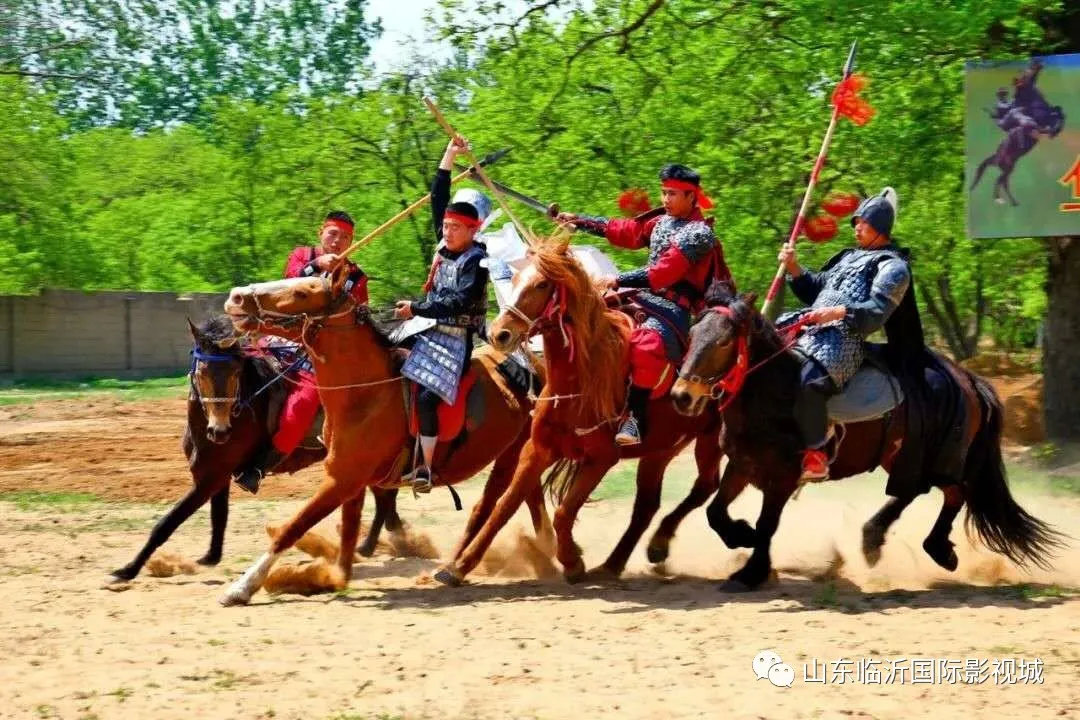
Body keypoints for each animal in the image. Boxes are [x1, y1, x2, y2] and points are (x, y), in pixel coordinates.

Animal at [109, 317, 406, 582]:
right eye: (202, 372)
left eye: (235, 372)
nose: (220, 431)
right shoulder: (217, 476)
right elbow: (219, 516)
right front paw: (211, 556)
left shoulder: (209, 479)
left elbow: (167, 523)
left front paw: (127, 570)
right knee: (384, 497)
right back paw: (380, 540)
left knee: (384, 496)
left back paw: (374, 543)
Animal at [220, 267, 557, 604]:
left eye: (302, 292)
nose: (236, 297)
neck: (366, 393)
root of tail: (536, 367)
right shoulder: (351, 482)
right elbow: (344, 552)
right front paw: (313, 575)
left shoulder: (342, 480)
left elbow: (295, 527)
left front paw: (243, 586)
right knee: (527, 493)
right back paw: (542, 547)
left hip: (509, 453)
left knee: (490, 504)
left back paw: (459, 566)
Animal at [432, 239, 725, 587]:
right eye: (514, 280)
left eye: (542, 284)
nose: (500, 334)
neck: (582, 380)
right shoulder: (537, 450)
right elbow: (505, 506)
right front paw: (458, 567)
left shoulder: (600, 459)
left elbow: (564, 513)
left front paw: (572, 561)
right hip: (661, 450)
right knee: (647, 506)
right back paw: (615, 563)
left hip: (711, 439)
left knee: (705, 486)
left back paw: (657, 545)